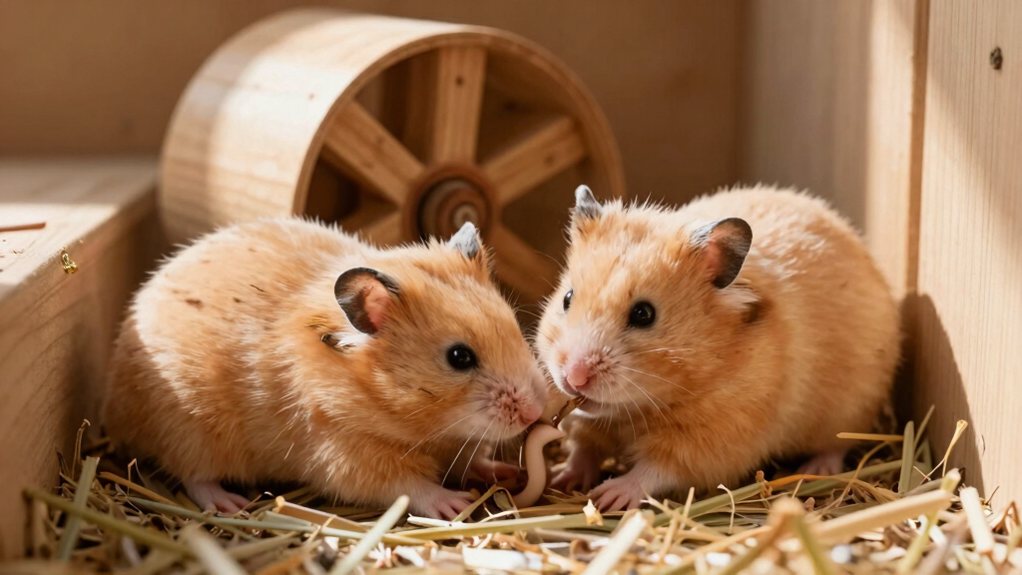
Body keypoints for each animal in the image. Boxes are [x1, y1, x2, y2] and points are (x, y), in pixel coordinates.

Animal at [104, 218, 547, 519]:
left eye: (513, 325)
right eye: (459, 357)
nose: (535, 412)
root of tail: (116, 409)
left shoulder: (458, 441)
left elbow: (474, 458)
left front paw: (504, 472)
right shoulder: (343, 452)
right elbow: (407, 486)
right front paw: (455, 504)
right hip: (189, 431)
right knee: (193, 476)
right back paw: (230, 503)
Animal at [536, 185, 900, 511]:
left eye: (643, 314)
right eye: (567, 298)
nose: (574, 377)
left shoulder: (714, 440)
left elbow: (656, 469)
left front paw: (608, 497)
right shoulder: (589, 423)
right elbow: (583, 448)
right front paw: (563, 478)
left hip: (850, 409)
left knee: (838, 444)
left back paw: (815, 468)